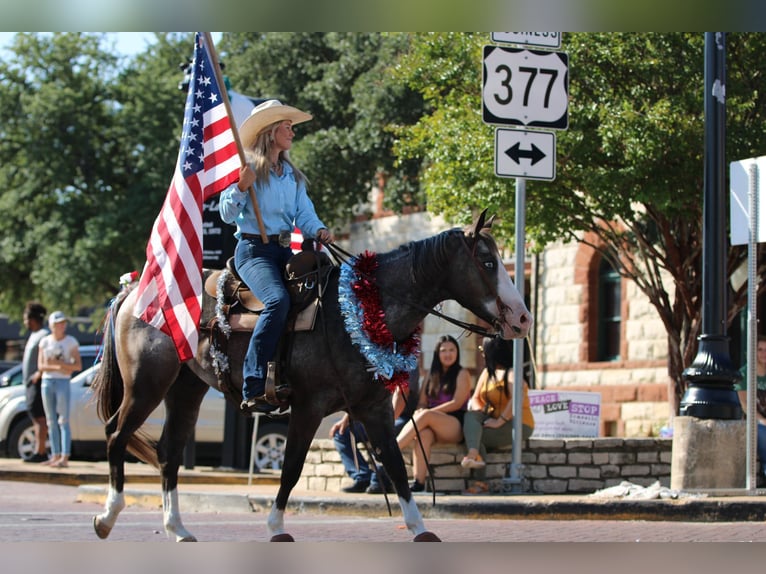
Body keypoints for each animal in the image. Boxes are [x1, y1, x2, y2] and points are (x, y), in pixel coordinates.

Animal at [91, 209, 536, 544]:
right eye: (488, 262)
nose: (522, 318)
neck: (357, 311)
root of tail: (133, 290)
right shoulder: (308, 407)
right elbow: (291, 466)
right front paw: (275, 526)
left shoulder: (373, 408)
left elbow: (395, 466)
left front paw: (419, 528)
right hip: (147, 383)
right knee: (115, 433)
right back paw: (108, 517)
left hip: (186, 388)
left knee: (168, 451)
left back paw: (177, 528)